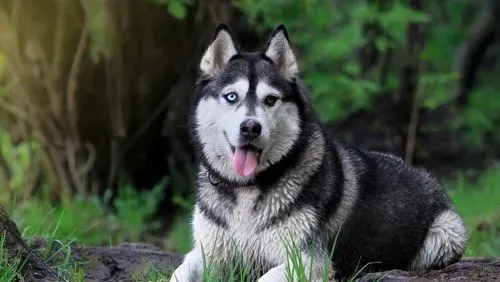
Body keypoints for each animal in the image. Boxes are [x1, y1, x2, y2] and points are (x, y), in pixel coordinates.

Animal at [170, 23, 466, 280]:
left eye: (271, 99)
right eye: (232, 96)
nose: (251, 127)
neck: (246, 189)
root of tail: (424, 173)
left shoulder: (308, 260)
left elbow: (266, 277)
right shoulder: (208, 254)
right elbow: (178, 272)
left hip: (448, 233)